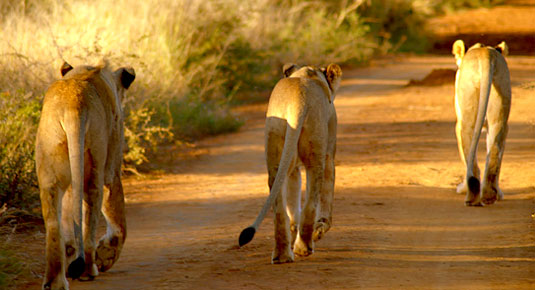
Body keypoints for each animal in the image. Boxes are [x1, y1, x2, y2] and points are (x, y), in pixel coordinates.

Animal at [35, 60, 135, 288]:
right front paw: (106, 254)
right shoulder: (111, 170)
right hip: (94, 168)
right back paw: (89, 269)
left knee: (54, 224)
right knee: (90, 217)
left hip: (49, 172)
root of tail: (72, 105)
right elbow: (118, 218)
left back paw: (55, 281)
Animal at [240, 62, 344, 262]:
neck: (308, 74)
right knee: (311, 202)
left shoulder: (292, 165)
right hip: (315, 153)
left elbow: (292, 196)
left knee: (279, 208)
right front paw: (321, 228)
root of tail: (297, 101)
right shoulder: (329, 154)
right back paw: (304, 247)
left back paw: (282, 255)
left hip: (275, 147)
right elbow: (327, 196)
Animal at [454, 39, 512, 206]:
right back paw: (489, 195)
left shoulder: (458, 125)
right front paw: (499, 193)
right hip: (500, 106)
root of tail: (486, 54)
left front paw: (462, 188)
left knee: (470, 156)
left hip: (467, 118)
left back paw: (471, 196)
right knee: (494, 151)